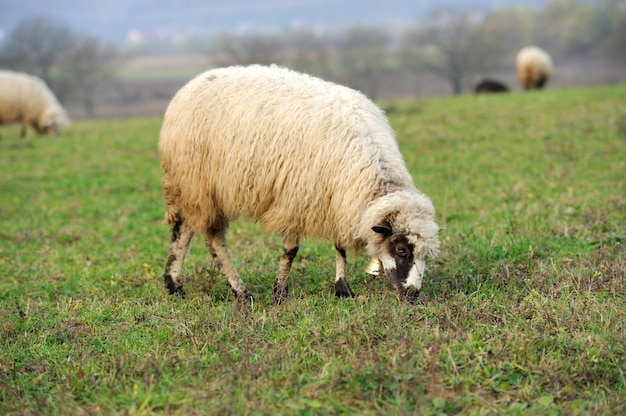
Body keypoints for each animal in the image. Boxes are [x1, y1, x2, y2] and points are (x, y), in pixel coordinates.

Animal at [158, 66, 442, 306]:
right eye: (402, 249)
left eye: (426, 254)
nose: (413, 295)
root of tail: (190, 85)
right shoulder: (296, 197)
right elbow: (291, 251)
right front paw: (279, 293)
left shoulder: (335, 196)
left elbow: (339, 245)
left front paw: (342, 288)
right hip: (197, 184)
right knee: (210, 238)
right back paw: (240, 291)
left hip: (196, 188)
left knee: (185, 231)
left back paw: (175, 285)